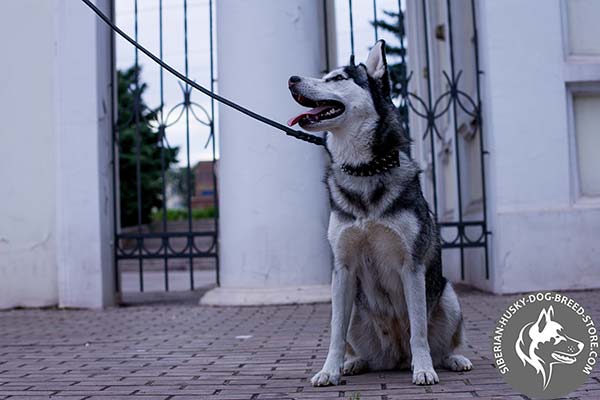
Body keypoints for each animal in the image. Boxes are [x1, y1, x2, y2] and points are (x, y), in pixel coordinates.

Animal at [288, 39, 474, 386]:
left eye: (338, 78)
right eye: (325, 75)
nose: (292, 79)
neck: (364, 170)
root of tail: (397, 358)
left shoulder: (411, 266)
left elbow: (419, 331)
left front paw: (424, 369)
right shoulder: (342, 269)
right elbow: (334, 334)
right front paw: (329, 370)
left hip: (448, 296)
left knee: (444, 342)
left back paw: (453, 359)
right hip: (356, 313)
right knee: (361, 348)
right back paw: (354, 363)